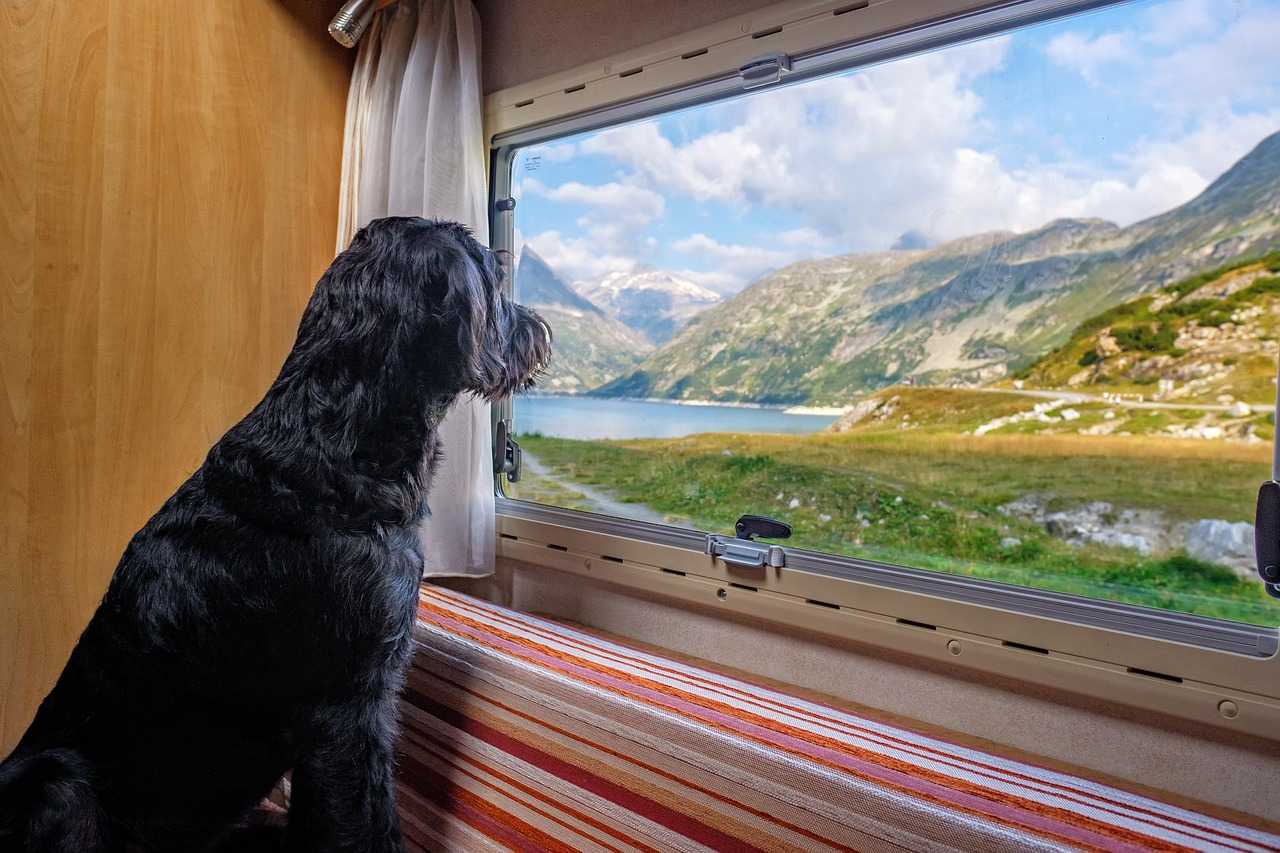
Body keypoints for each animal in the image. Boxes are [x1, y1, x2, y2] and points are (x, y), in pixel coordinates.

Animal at [0, 217, 550, 850]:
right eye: (493, 274)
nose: (539, 329)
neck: (334, 444)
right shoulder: (349, 705)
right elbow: (363, 820)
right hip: (58, 784)